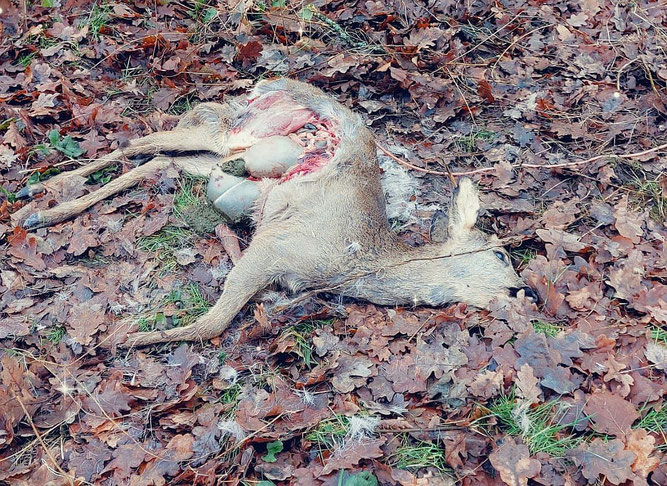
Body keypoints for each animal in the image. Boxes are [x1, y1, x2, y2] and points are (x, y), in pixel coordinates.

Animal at [12, 78, 536, 348]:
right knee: (138, 144)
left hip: (227, 149)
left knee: (160, 161)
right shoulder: (270, 248)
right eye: (500, 254)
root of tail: (268, 81)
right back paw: (38, 193)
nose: (525, 291)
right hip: (231, 128)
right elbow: (213, 324)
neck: (354, 263)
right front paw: (122, 341)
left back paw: (42, 208)